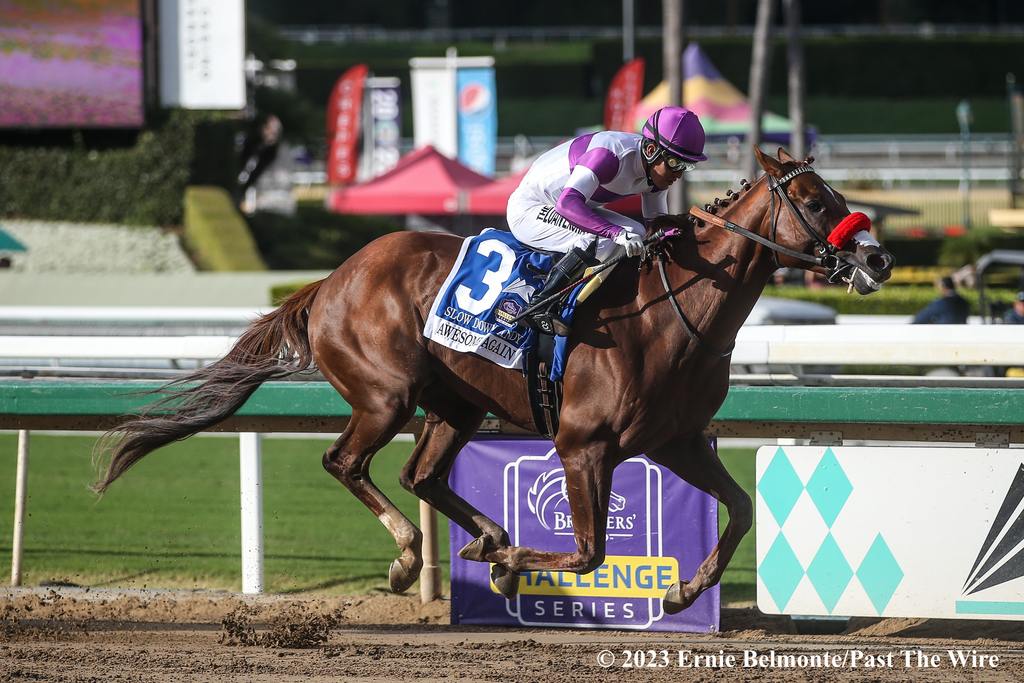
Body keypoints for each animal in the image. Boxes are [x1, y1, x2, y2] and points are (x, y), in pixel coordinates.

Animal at [97, 145, 897, 614]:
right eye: (816, 202)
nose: (880, 258)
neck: (673, 311)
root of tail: (331, 279)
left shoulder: (677, 440)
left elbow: (740, 508)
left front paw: (685, 591)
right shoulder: (582, 444)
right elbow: (589, 551)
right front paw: (514, 562)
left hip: (454, 404)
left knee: (420, 473)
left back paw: (483, 538)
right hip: (386, 394)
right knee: (346, 461)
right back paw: (414, 555)